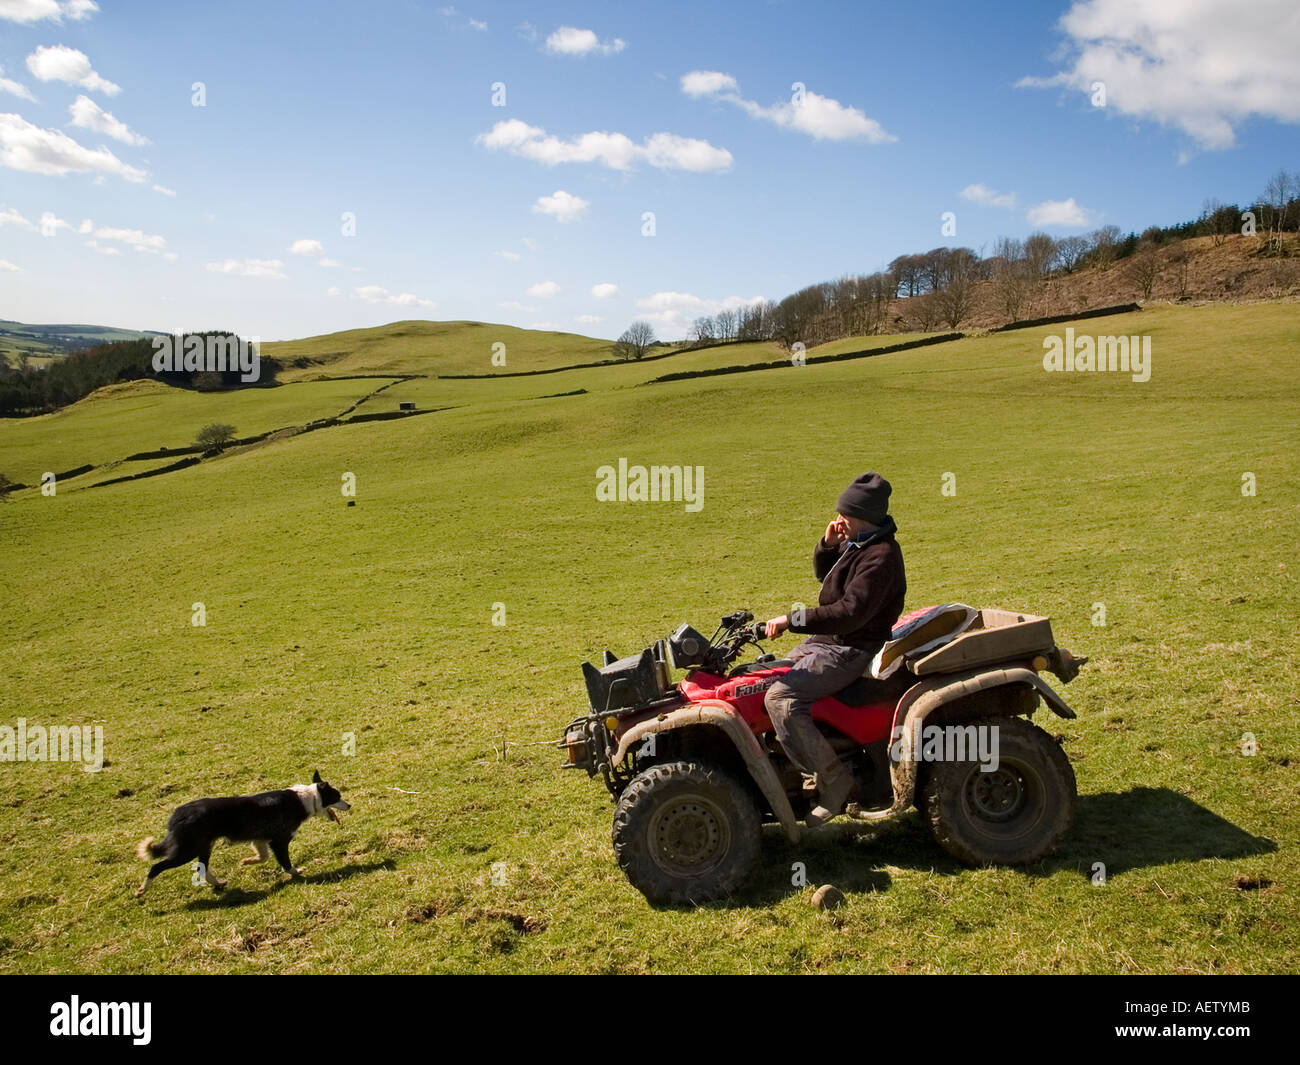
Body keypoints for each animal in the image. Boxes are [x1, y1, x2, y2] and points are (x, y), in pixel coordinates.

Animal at [134, 769, 348, 894]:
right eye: (337, 796)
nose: (350, 805)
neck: (306, 798)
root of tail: (178, 814)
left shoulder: (260, 840)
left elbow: (263, 857)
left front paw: (247, 861)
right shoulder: (279, 841)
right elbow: (285, 862)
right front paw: (296, 872)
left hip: (204, 847)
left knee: (202, 868)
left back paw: (218, 884)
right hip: (187, 850)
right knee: (156, 867)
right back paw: (142, 889)